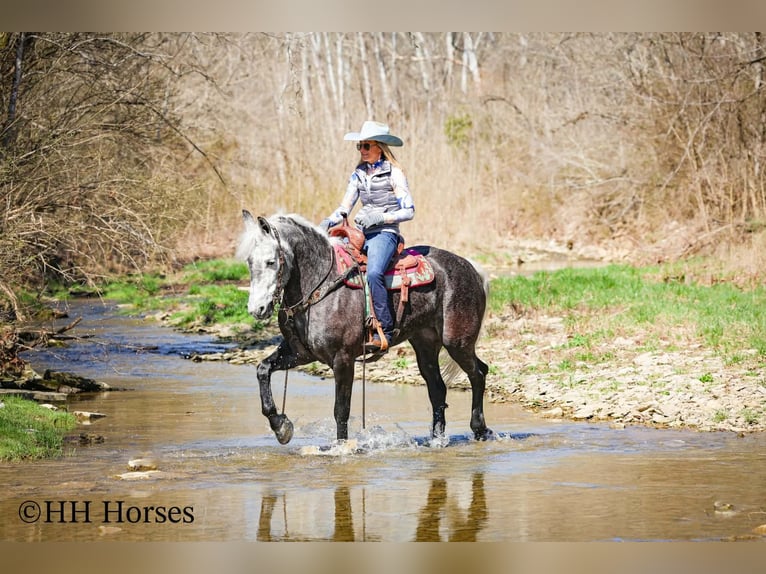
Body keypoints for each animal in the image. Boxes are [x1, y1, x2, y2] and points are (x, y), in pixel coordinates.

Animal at [237, 210, 492, 445]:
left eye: (271, 262)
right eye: (250, 262)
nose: (257, 309)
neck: (320, 286)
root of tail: (470, 268)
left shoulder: (343, 359)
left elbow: (341, 409)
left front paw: (341, 447)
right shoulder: (300, 353)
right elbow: (263, 369)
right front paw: (280, 426)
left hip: (457, 342)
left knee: (478, 373)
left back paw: (480, 429)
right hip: (425, 345)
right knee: (438, 389)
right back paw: (437, 439)